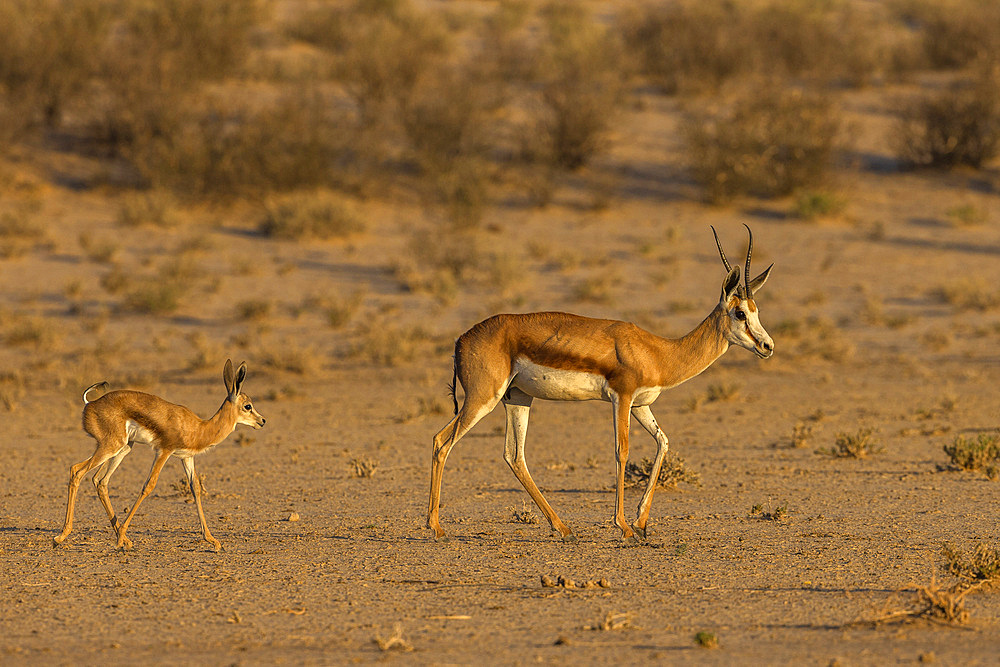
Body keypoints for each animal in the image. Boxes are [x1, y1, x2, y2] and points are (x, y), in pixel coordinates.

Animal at [53, 360, 266, 552]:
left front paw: (213, 541)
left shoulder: (186, 457)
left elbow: (195, 489)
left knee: (100, 481)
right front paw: (120, 537)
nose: (262, 421)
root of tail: (90, 404)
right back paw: (61, 537)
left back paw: (125, 540)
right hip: (111, 446)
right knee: (77, 471)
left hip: (123, 449)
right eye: (248, 406)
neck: (199, 428)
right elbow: (149, 485)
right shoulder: (164, 451)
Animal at [428, 224, 772, 544]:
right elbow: (622, 451)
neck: (658, 352)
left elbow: (663, 442)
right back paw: (436, 528)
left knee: (514, 455)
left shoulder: (641, 405)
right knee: (442, 441)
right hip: (483, 398)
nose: (767, 346)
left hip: (518, 398)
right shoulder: (622, 397)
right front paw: (625, 528)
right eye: (740, 313)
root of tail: (461, 340)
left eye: (756, 311)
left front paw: (641, 524)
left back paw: (564, 529)